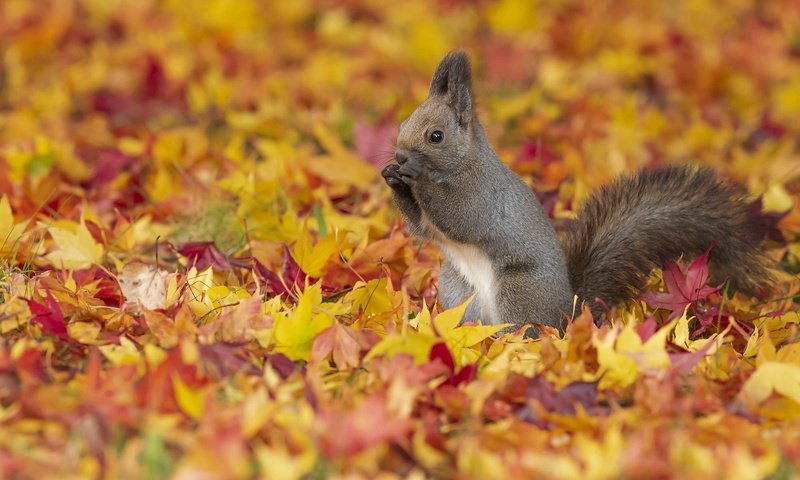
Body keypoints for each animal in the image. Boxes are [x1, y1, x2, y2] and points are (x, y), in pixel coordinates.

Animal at [382, 50, 776, 332]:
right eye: (401, 124)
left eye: (436, 136)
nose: (400, 156)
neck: (461, 164)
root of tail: (570, 312)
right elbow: (421, 226)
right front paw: (392, 176)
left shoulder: (481, 195)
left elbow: (458, 216)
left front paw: (414, 176)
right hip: (456, 289)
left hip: (519, 290)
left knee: (526, 331)